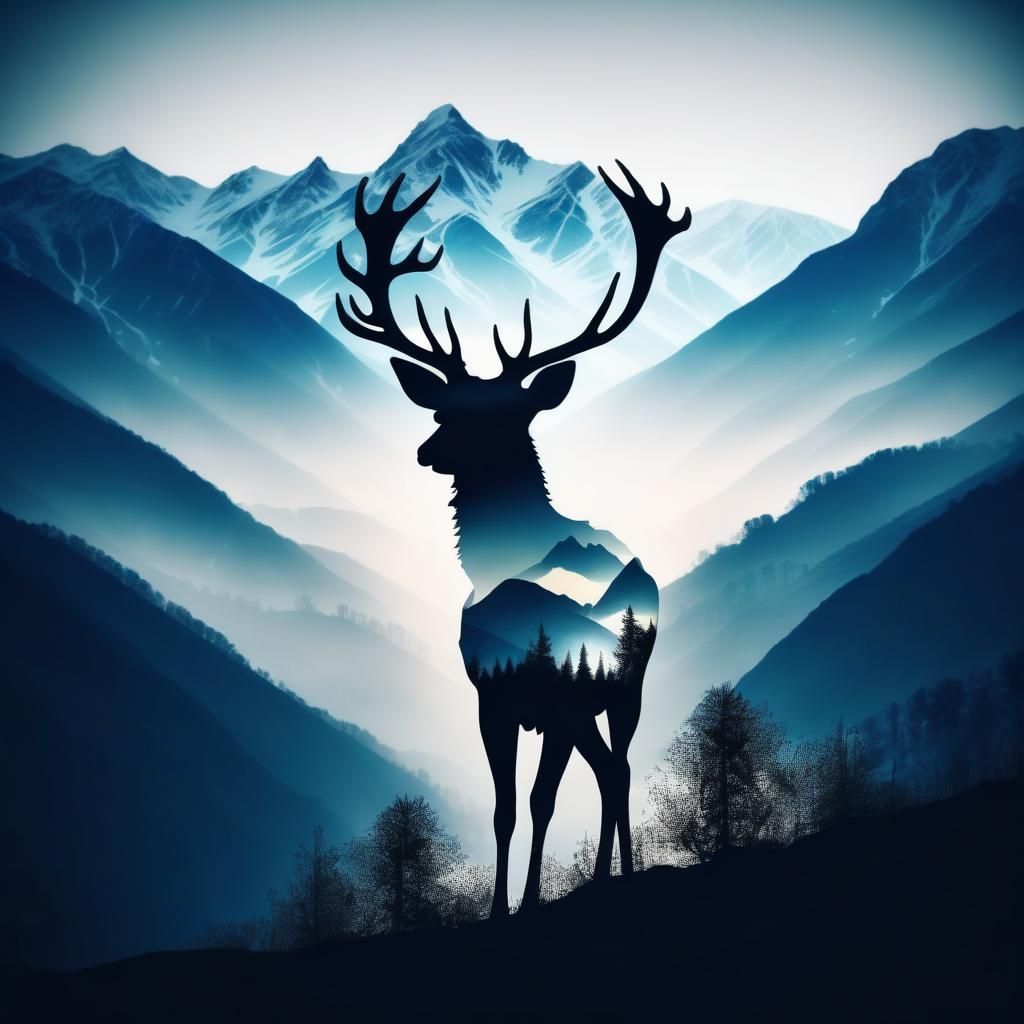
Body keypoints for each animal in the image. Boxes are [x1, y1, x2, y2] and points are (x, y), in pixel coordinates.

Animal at [335, 161, 691, 916]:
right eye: (444, 408)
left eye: (507, 413)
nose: (427, 451)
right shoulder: (490, 698)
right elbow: (503, 808)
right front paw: (498, 906)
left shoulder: (559, 698)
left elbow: (541, 800)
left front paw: (527, 901)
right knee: (610, 770)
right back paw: (606, 875)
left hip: (627, 682)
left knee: (618, 766)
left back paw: (616, 875)